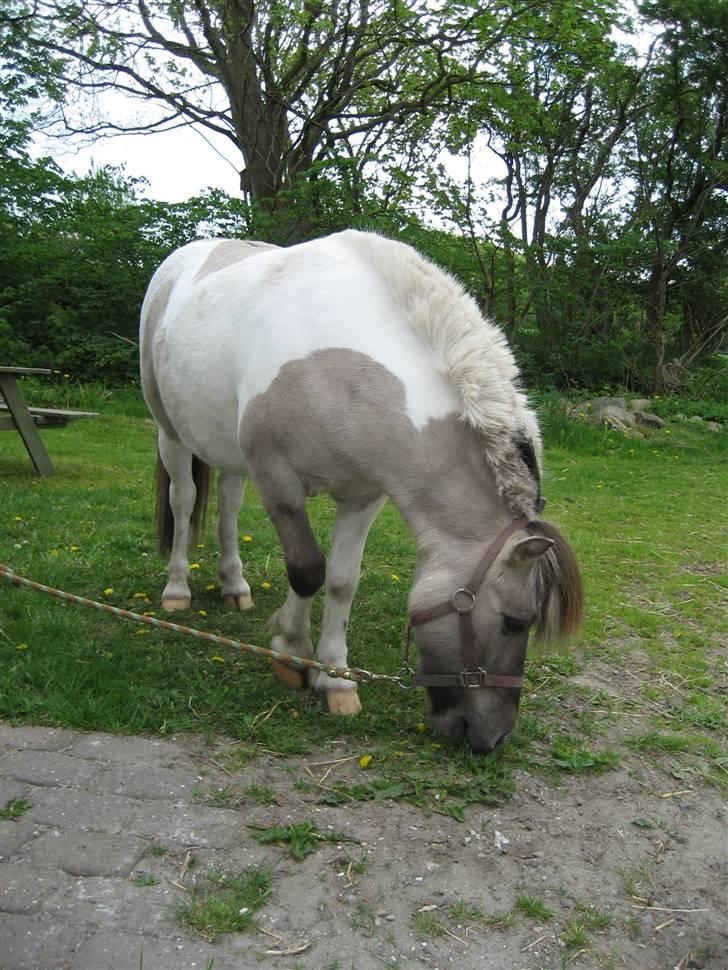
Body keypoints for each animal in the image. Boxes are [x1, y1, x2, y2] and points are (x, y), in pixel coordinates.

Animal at [141, 231, 584, 752]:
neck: (345, 367)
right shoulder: (278, 478)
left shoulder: (364, 495)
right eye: (516, 621)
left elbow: (341, 580)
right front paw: (292, 653)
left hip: (227, 450)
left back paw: (235, 585)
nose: (493, 738)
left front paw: (335, 679)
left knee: (228, 506)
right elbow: (307, 570)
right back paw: (177, 589)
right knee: (184, 500)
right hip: (169, 432)